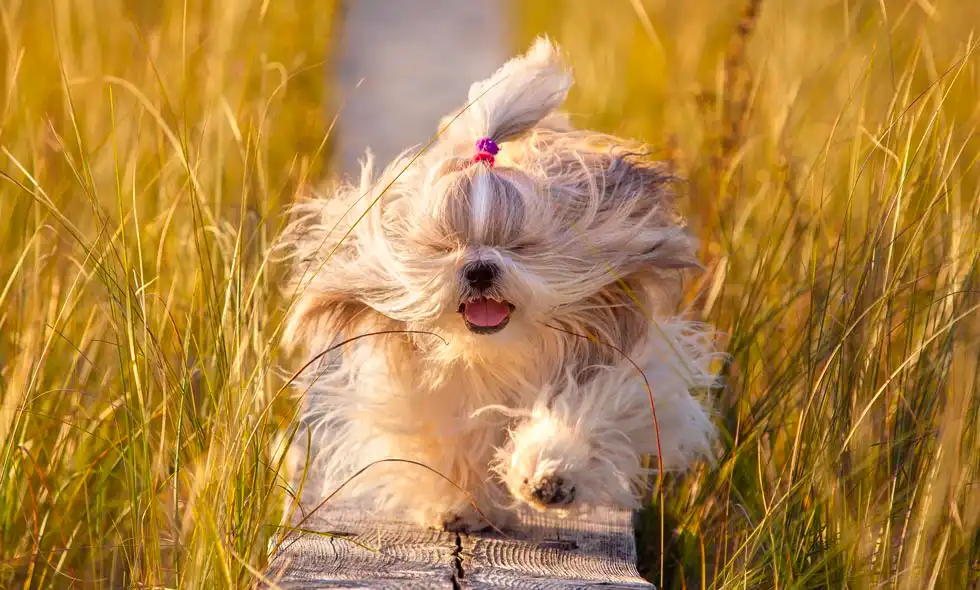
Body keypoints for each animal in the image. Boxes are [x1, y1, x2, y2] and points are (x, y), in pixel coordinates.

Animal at [280, 39, 724, 536]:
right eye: (445, 244)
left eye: (520, 245)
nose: (478, 269)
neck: (499, 352)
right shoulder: (427, 395)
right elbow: (450, 439)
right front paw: (462, 505)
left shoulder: (624, 364)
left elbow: (589, 408)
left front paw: (550, 474)